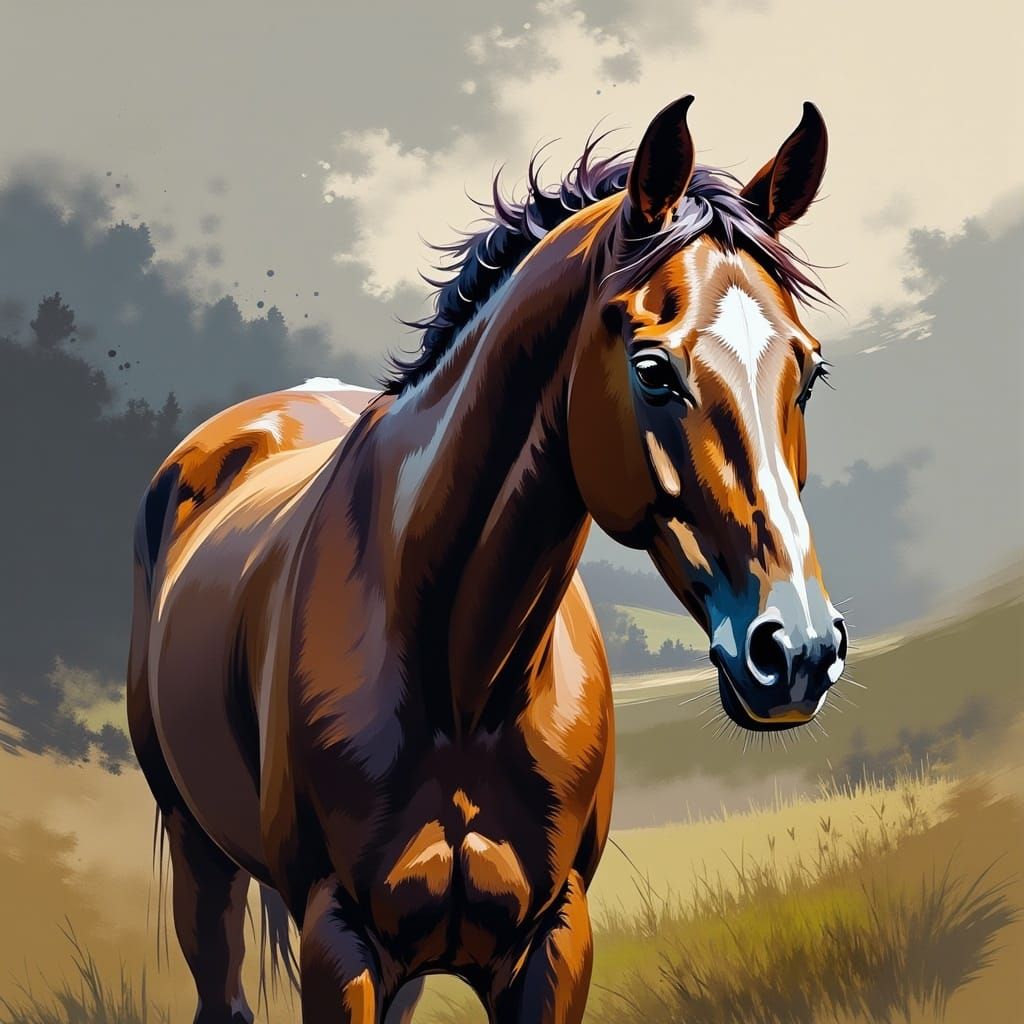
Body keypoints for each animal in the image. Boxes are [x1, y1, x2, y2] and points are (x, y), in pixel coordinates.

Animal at [127, 95, 847, 1024]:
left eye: (810, 372)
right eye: (653, 370)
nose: (798, 650)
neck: (463, 683)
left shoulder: (552, 940)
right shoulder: (338, 942)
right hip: (199, 854)